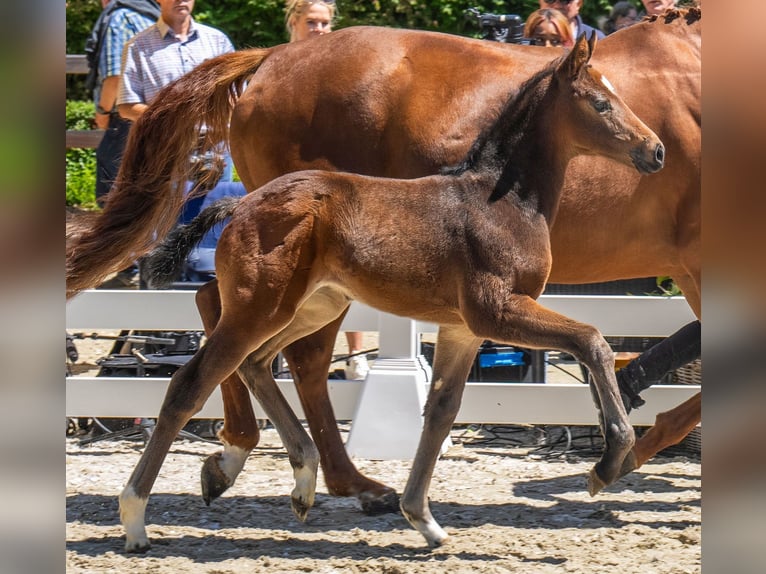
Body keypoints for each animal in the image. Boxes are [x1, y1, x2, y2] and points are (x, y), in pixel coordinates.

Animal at [124, 35, 664, 552]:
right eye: (600, 103)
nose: (656, 150)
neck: (501, 201)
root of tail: (239, 205)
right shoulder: (496, 311)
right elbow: (592, 340)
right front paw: (610, 461)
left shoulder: (462, 329)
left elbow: (440, 413)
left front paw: (423, 520)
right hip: (260, 306)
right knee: (191, 382)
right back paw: (136, 519)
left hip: (313, 304)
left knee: (257, 363)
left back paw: (300, 479)